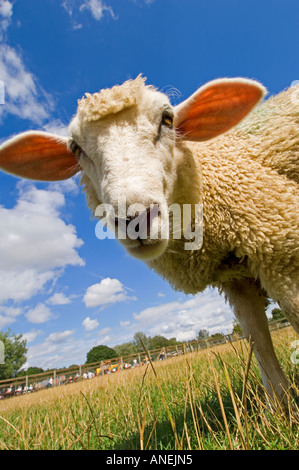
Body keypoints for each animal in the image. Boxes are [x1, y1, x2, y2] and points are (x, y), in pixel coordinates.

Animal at [0, 75, 299, 410]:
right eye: (76, 148)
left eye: (167, 119)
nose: (135, 218)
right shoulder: (237, 279)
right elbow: (257, 339)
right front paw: (281, 406)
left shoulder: (280, 248)